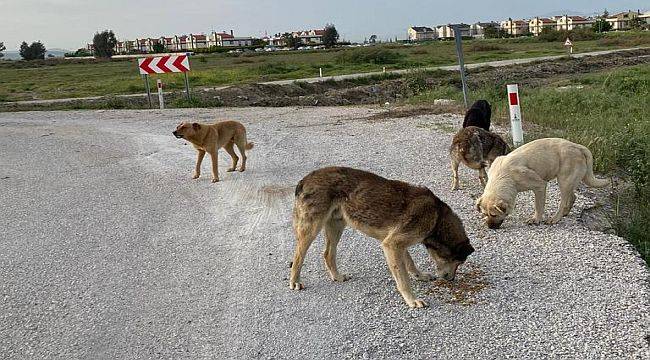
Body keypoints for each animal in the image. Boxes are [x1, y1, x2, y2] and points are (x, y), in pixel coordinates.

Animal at [288, 167, 470, 308]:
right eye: (459, 262)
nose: (452, 280)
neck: (437, 217)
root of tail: (305, 179)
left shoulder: (398, 245)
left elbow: (410, 264)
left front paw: (419, 276)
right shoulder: (392, 245)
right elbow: (403, 279)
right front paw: (411, 300)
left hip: (336, 226)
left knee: (327, 254)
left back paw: (337, 277)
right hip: (311, 229)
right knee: (298, 256)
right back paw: (295, 281)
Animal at [476, 138, 608, 228]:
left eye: (494, 215)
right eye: (485, 214)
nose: (490, 227)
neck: (503, 176)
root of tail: (578, 147)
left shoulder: (539, 186)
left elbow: (538, 206)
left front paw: (536, 219)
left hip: (564, 181)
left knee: (563, 202)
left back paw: (555, 218)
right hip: (568, 182)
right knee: (572, 197)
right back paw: (565, 213)